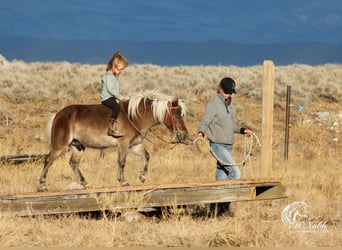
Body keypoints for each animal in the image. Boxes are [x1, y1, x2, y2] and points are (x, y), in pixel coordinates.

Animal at [38, 89, 190, 191]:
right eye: (176, 116)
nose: (184, 136)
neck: (134, 117)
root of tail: (58, 114)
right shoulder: (123, 143)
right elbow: (122, 162)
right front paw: (123, 181)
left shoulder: (134, 145)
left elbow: (146, 156)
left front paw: (142, 176)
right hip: (60, 145)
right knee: (48, 160)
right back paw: (42, 186)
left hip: (78, 146)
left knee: (73, 163)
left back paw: (85, 183)